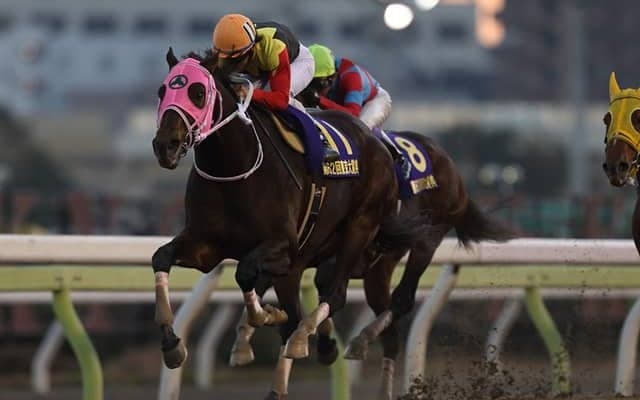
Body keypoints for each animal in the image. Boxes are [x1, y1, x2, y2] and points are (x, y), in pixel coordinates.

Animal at [151, 47, 426, 400]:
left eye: (197, 92)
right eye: (163, 91)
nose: (166, 146)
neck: (234, 167)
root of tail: (377, 142)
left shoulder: (281, 247)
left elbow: (245, 274)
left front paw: (264, 315)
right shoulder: (205, 246)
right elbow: (161, 257)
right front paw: (172, 344)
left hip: (359, 228)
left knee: (332, 296)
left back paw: (302, 338)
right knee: (304, 306)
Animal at [229, 130, 518, 399]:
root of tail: (451, 168)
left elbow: (313, 296)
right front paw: (250, 336)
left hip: (426, 240)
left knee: (402, 299)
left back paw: (361, 340)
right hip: (381, 266)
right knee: (389, 330)